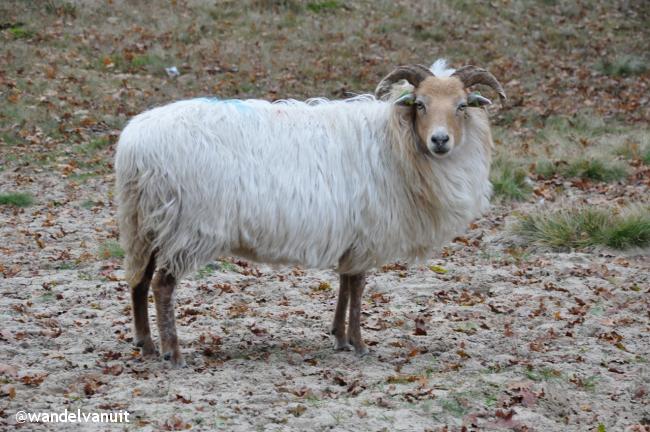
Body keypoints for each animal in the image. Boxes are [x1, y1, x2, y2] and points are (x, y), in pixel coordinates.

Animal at [115, 59, 502, 366]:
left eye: (462, 106)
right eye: (420, 104)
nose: (440, 140)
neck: (394, 139)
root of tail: (135, 144)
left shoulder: (354, 235)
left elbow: (346, 283)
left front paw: (340, 337)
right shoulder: (368, 232)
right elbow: (358, 287)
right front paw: (359, 343)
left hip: (145, 224)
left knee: (139, 280)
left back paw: (145, 344)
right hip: (188, 226)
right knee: (162, 285)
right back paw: (172, 352)